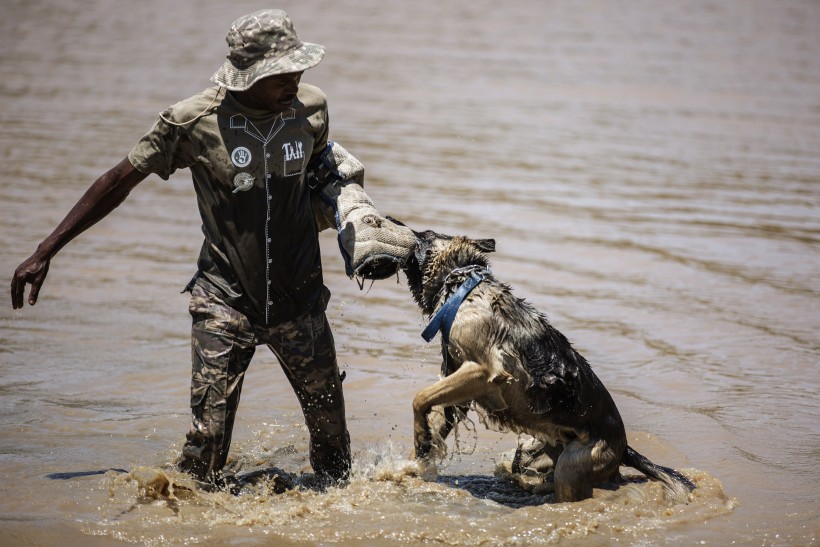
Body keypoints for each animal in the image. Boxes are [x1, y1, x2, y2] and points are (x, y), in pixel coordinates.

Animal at [400, 227, 696, 506]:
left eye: (422, 235)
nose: (401, 226)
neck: (463, 287)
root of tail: (623, 447)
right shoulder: (460, 388)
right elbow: (433, 414)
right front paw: (415, 461)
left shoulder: (482, 372)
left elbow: (420, 397)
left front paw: (420, 438)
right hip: (538, 451)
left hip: (571, 467)